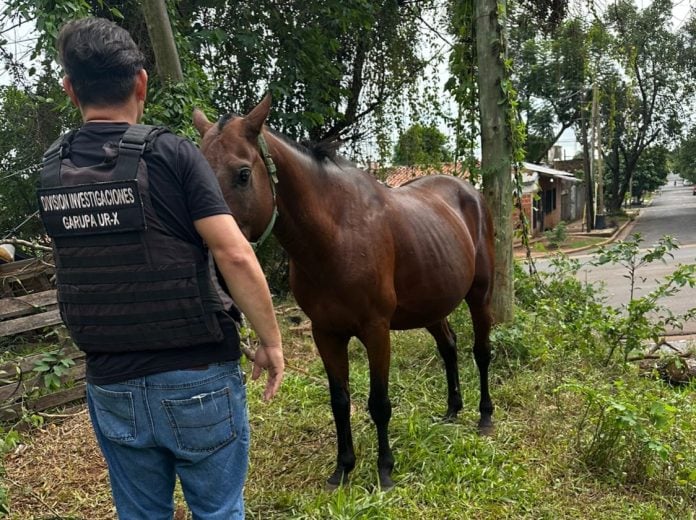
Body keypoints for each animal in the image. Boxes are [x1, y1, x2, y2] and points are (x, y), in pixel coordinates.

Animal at [193, 95, 495, 490]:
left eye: (243, 174)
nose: (212, 263)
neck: (336, 234)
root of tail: (469, 192)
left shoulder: (376, 330)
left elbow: (379, 402)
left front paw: (385, 470)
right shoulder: (326, 333)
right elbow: (339, 401)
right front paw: (342, 468)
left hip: (480, 294)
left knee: (481, 352)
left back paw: (484, 417)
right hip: (431, 304)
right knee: (449, 347)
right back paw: (451, 411)